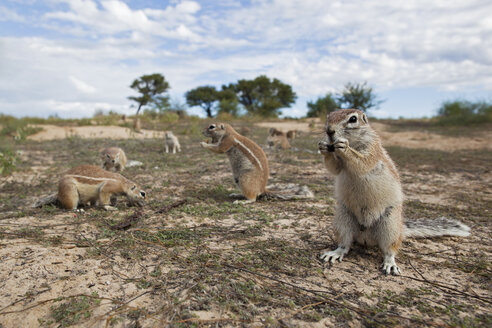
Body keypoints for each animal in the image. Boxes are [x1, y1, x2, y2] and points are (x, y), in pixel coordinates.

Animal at [318, 108, 470, 274]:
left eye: (353, 119)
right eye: (328, 116)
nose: (329, 131)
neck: (354, 142)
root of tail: (366, 238)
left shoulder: (373, 150)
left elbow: (362, 162)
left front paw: (344, 147)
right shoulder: (339, 164)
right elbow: (334, 168)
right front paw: (324, 147)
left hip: (389, 225)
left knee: (389, 250)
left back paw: (390, 263)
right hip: (343, 220)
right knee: (345, 245)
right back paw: (335, 253)